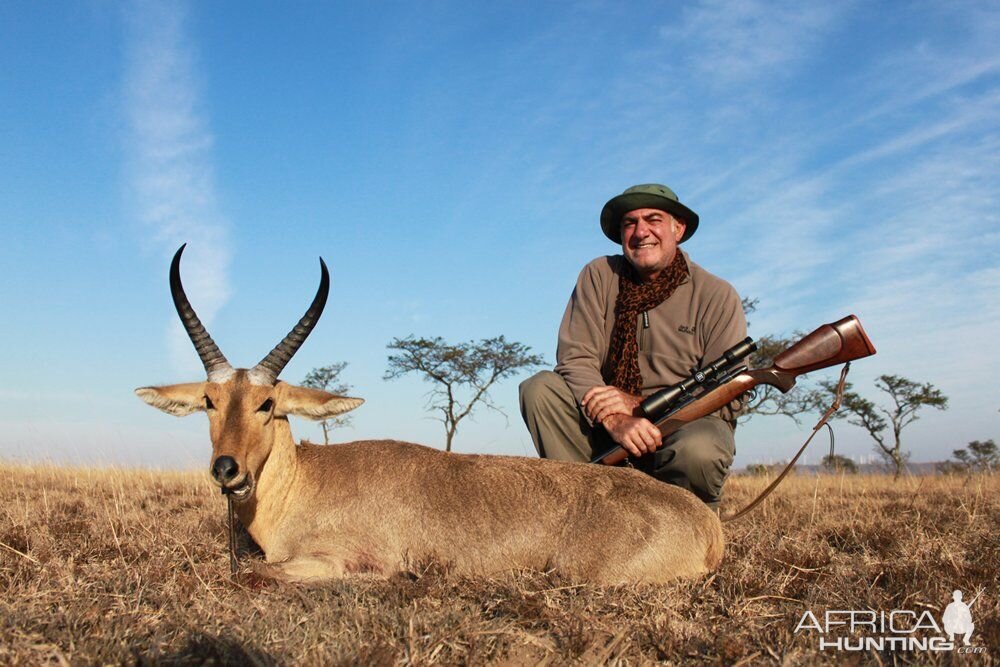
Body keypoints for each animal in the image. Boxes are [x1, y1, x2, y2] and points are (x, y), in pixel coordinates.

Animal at [137, 247, 724, 584]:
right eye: (209, 402)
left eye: (266, 404)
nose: (227, 469)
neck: (304, 484)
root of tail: (707, 521)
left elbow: (259, 574)